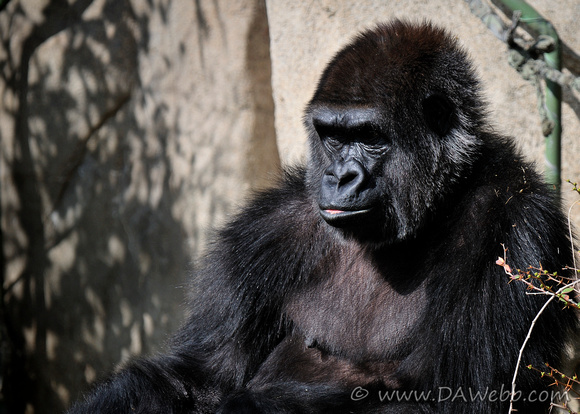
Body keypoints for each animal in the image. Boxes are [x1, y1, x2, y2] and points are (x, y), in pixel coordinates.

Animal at [67, 20, 576, 414]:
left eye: (370, 137)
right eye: (331, 135)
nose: (339, 177)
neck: (432, 207)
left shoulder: (510, 223)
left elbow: (460, 398)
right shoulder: (263, 234)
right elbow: (202, 376)